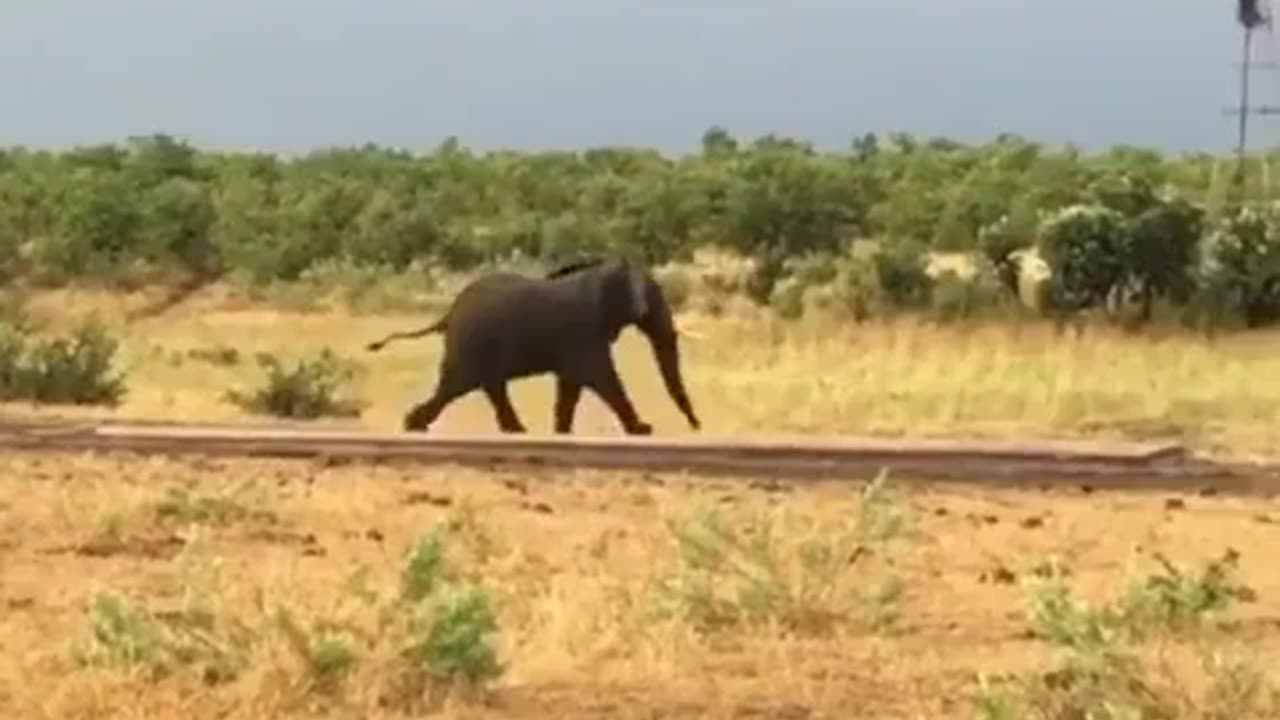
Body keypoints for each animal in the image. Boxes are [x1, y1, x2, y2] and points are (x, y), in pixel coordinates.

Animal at [366, 257, 706, 438]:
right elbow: (600, 377)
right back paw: (414, 425)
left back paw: (516, 431)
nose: (696, 425)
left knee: (485, 386)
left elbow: (571, 386)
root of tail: (448, 314)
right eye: (656, 297)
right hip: (471, 345)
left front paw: (562, 433)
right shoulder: (583, 330)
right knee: (456, 385)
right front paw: (643, 430)